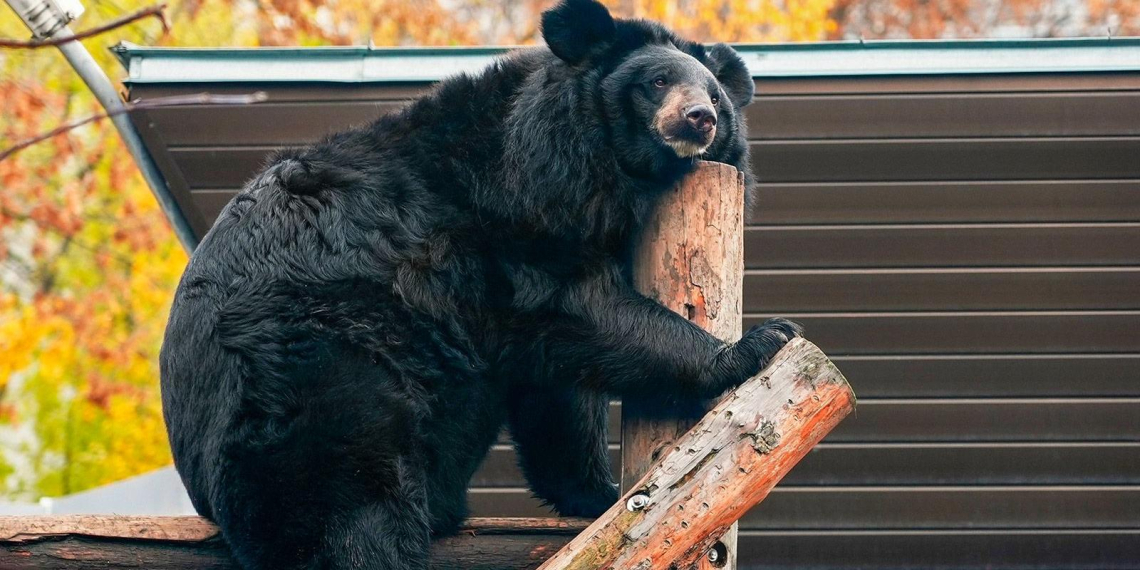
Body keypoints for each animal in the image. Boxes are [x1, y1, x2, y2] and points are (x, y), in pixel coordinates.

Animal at [158, 1, 802, 568]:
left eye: (715, 95)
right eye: (657, 81)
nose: (699, 119)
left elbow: (558, 393)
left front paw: (598, 496)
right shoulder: (510, 230)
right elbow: (583, 314)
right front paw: (758, 343)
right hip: (316, 372)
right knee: (346, 509)